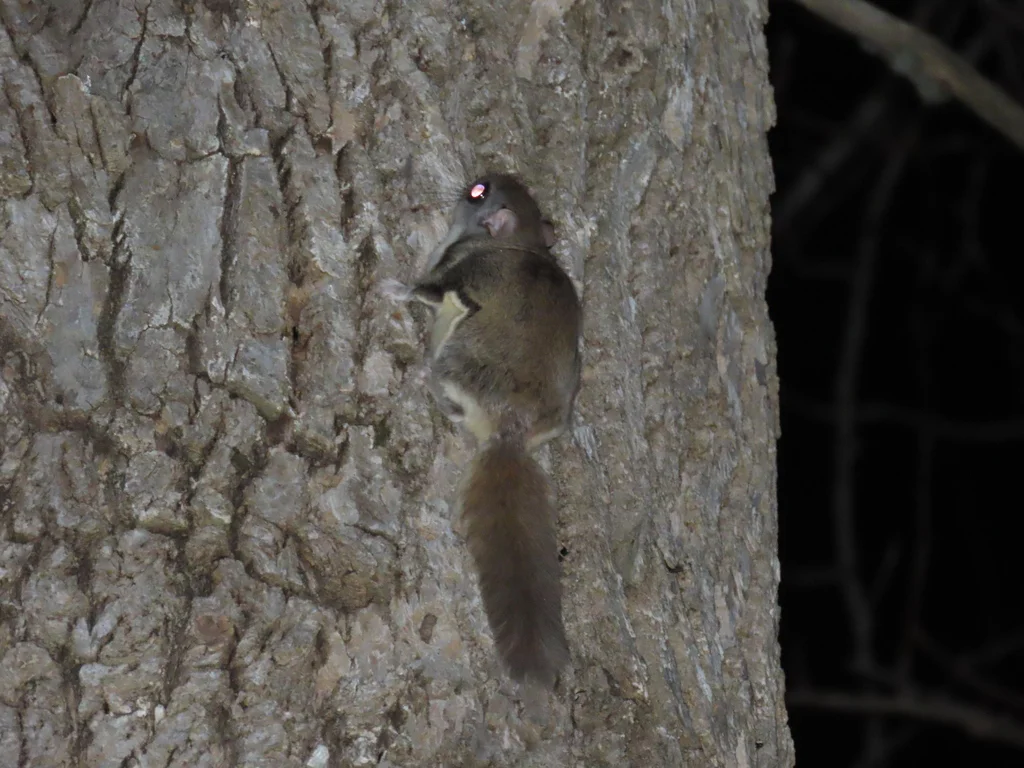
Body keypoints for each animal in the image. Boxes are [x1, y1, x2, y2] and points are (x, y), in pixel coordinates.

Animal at [382, 173, 583, 687]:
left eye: (479, 193)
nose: (475, 177)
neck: (520, 243)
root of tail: (509, 432)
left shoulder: (463, 271)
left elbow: (429, 289)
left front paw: (395, 287)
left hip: (458, 358)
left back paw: (426, 380)